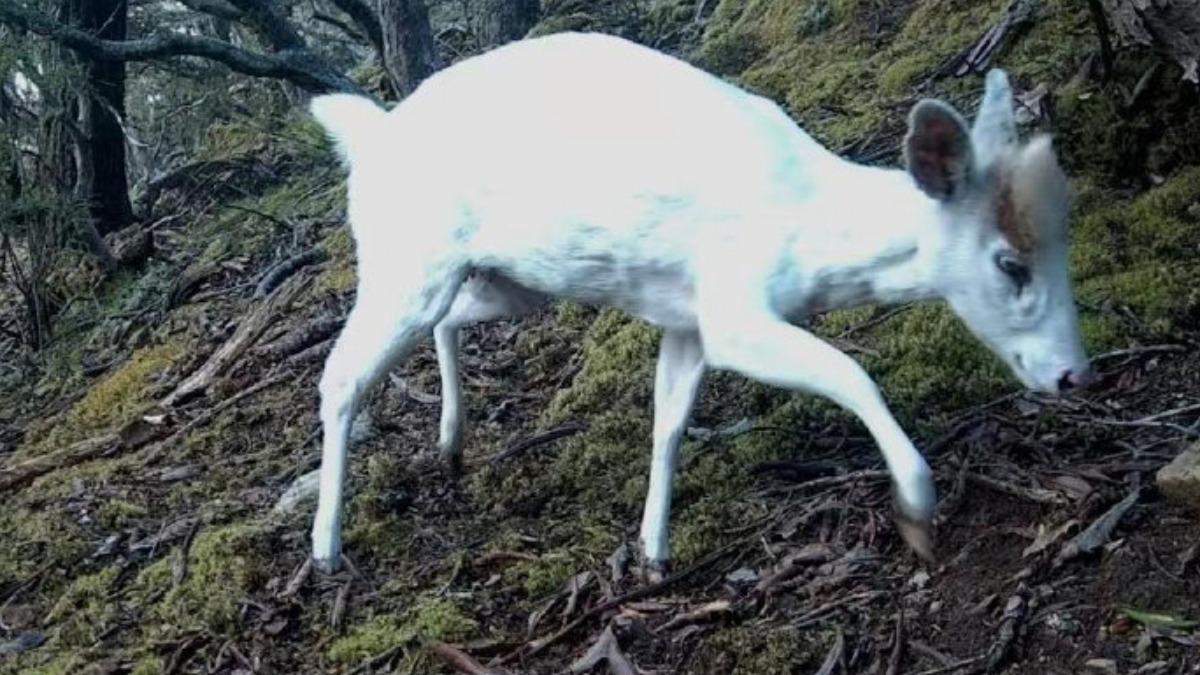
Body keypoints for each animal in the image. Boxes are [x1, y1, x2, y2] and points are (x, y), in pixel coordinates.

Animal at [304, 31, 1094, 571]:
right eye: (1010, 262)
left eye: (1064, 242)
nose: (1074, 373)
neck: (807, 231)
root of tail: (369, 138)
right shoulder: (732, 307)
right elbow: (852, 371)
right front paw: (917, 505)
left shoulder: (685, 318)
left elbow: (671, 421)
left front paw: (652, 551)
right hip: (405, 259)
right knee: (339, 376)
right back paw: (326, 547)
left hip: (503, 280)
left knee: (449, 320)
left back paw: (452, 439)